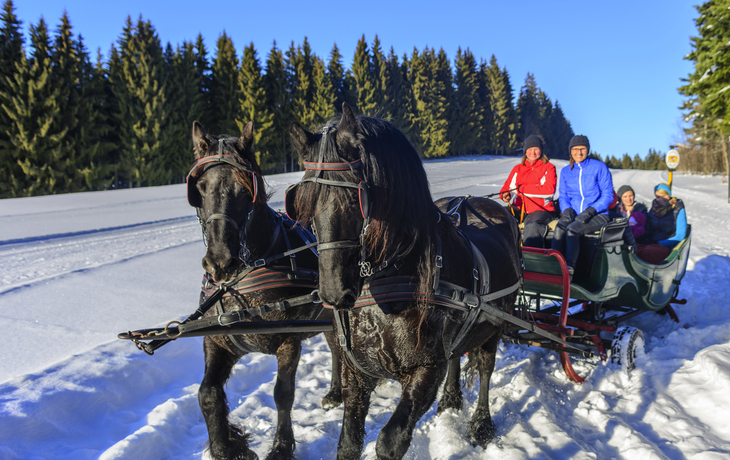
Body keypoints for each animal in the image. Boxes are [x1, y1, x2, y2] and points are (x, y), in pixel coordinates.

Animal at [191, 121, 344, 460]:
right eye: (200, 188)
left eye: (244, 189)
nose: (219, 262)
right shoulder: (217, 340)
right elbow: (207, 393)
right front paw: (227, 447)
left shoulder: (288, 340)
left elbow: (282, 394)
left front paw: (281, 447)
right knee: (336, 348)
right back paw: (335, 392)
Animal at [286, 104, 524, 460]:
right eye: (302, 202)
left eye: (355, 198)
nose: (332, 294)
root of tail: (480, 201)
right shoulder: (357, 372)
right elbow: (349, 443)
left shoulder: (426, 371)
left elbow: (390, 440)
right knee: (457, 355)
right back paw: (451, 399)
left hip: (493, 327)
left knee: (484, 367)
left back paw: (481, 423)